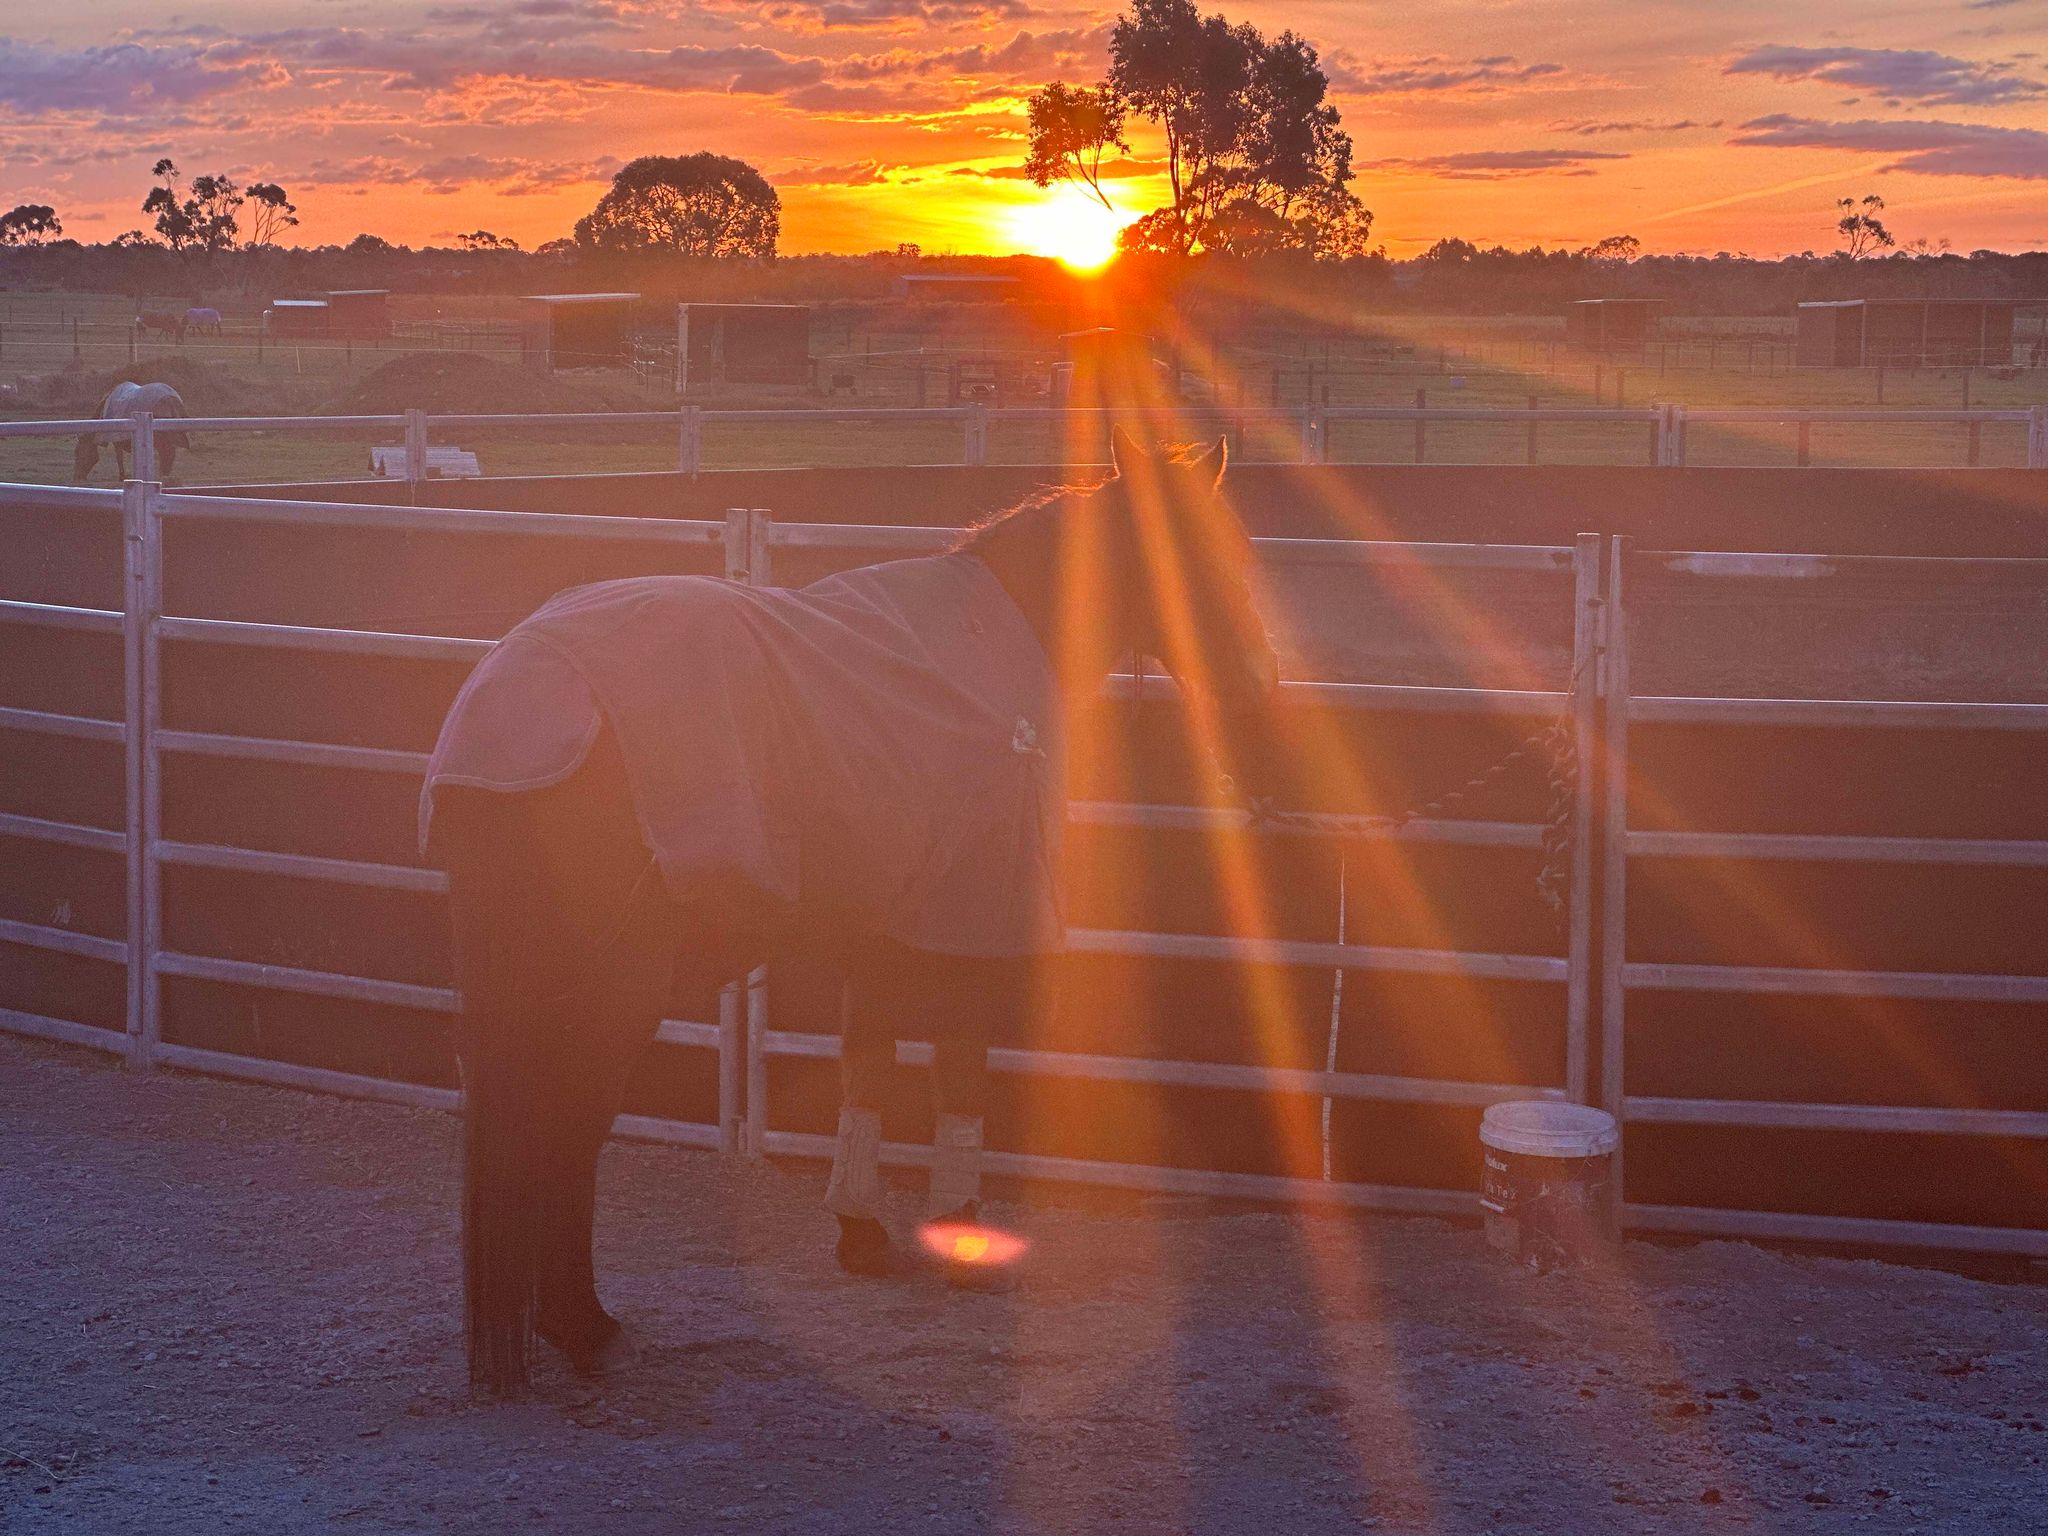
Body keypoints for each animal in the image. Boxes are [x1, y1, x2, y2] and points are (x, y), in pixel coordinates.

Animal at [419, 428, 1277, 1400]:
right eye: (1191, 562)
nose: (1258, 692)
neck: (998, 639)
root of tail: (518, 693)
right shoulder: (967, 914)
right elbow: (959, 1070)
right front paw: (961, 1228)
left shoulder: (884, 922)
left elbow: (865, 1068)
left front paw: (862, 1229)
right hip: (610, 986)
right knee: (566, 1128)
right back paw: (582, 1325)